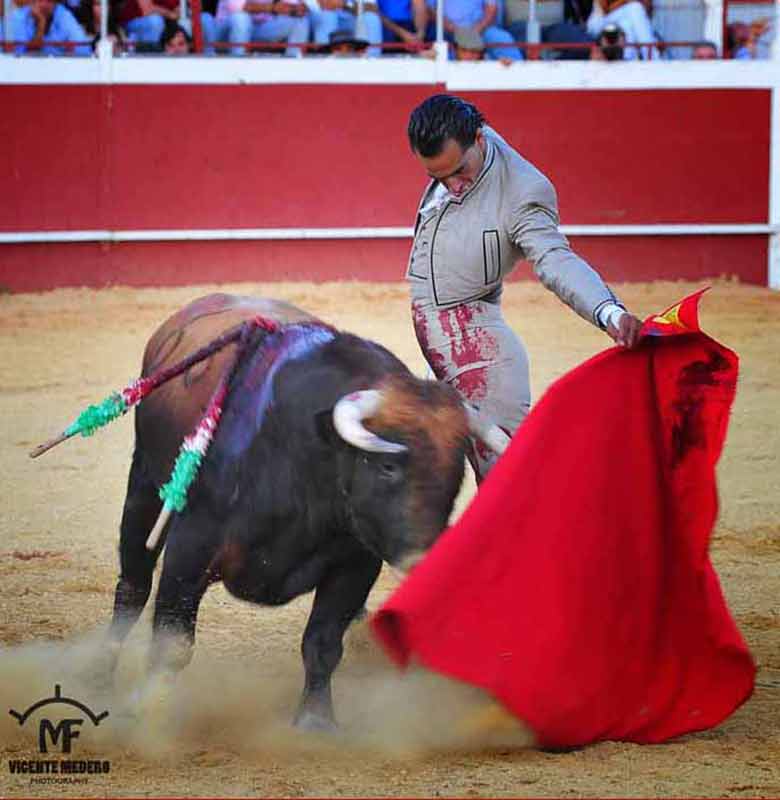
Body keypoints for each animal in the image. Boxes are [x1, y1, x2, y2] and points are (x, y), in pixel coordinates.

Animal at [103, 294, 506, 732]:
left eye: (456, 471)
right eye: (388, 465)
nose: (424, 559)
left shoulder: (355, 564)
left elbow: (323, 644)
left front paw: (316, 721)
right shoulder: (190, 548)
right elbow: (172, 642)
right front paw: (151, 715)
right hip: (143, 488)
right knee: (132, 588)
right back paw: (97, 674)